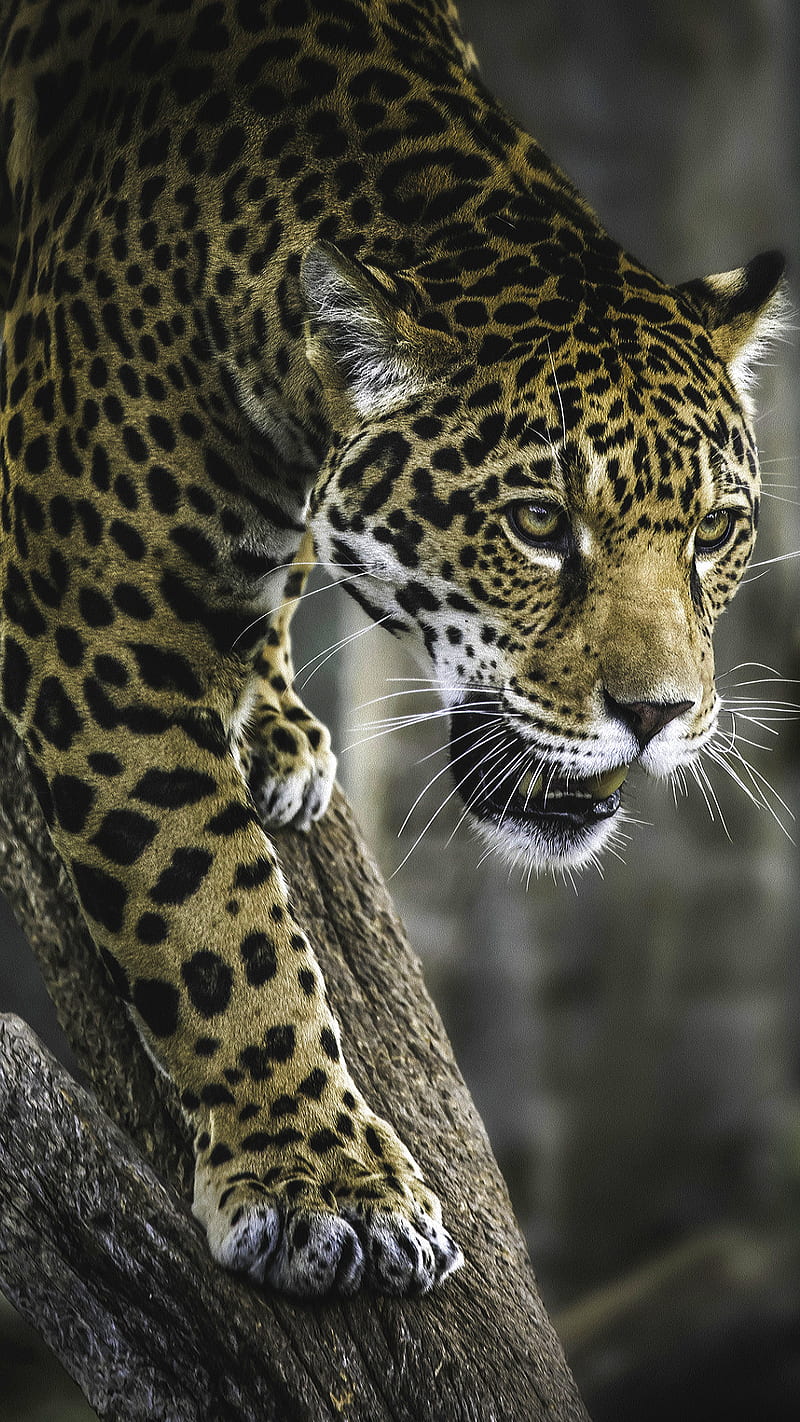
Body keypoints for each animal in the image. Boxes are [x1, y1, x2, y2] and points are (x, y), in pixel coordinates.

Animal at [0, 0, 786, 1299]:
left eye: (713, 533)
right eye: (537, 524)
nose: (661, 714)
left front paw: (268, 714)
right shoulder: (100, 626)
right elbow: (207, 906)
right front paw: (324, 1185)